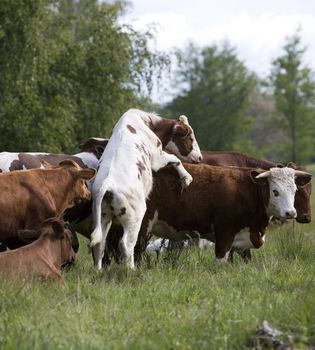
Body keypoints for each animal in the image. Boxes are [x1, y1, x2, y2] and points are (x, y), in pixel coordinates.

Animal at [89, 108, 202, 270]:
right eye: (189, 137)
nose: (200, 157)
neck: (145, 123)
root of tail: (107, 184)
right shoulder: (157, 157)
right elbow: (175, 159)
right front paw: (186, 177)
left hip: (104, 216)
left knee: (100, 244)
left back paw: (98, 270)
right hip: (134, 217)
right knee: (126, 245)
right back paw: (131, 269)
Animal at [103, 163, 312, 264]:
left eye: (294, 190)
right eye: (275, 191)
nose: (291, 212)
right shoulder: (224, 233)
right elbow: (221, 260)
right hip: (141, 227)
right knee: (133, 250)